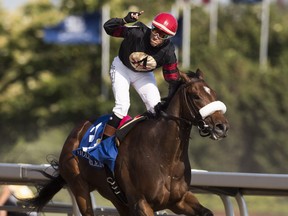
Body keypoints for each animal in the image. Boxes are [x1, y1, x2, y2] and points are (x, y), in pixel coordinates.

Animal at [22, 69, 230, 216]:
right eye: (196, 96)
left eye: (214, 93)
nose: (222, 126)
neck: (164, 155)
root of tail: (76, 131)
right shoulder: (141, 203)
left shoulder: (179, 200)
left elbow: (207, 212)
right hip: (79, 187)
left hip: (117, 198)